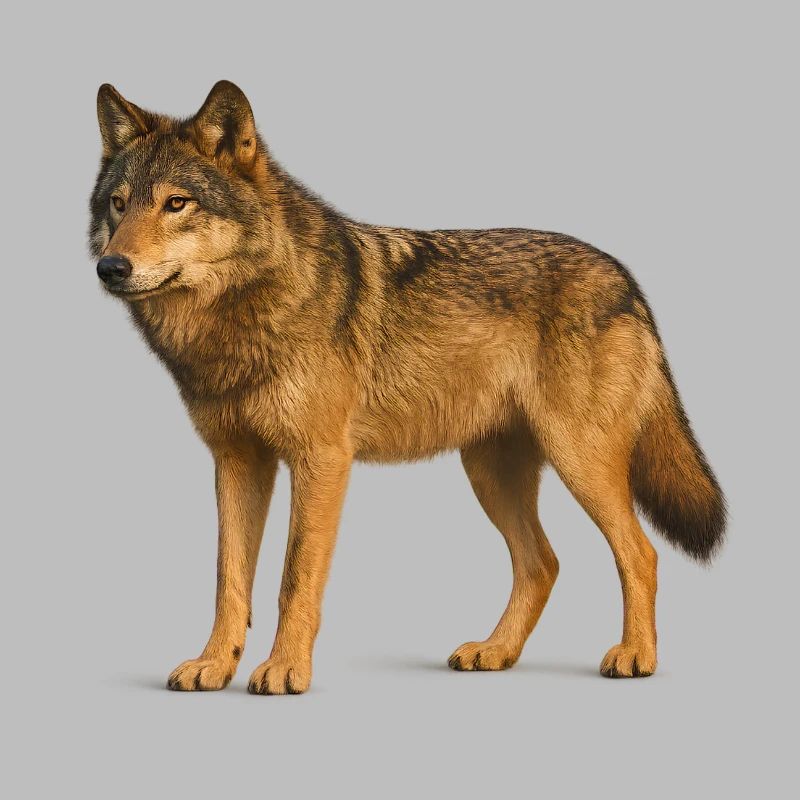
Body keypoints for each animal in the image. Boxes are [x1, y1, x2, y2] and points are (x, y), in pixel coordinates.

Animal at [89, 81, 725, 693]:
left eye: (176, 203)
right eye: (118, 205)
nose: (111, 267)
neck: (239, 317)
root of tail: (626, 279)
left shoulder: (321, 460)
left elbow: (294, 579)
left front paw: (285, 670)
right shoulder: (238, 461)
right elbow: (229, 580)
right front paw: (214, 666)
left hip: (579, 461)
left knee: (640, 553)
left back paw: (635, 656)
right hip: (490, 474)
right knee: (542, 563)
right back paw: (495, 652)